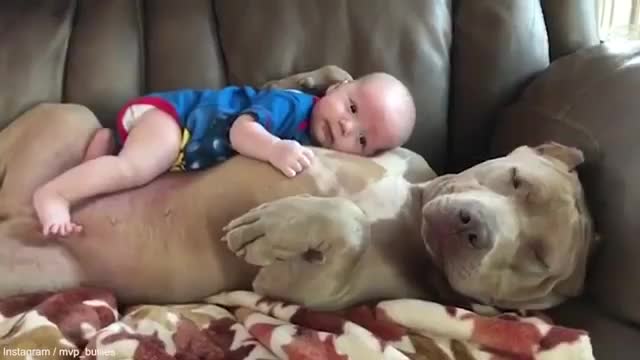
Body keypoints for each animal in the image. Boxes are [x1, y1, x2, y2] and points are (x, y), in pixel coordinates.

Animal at [0, 66, 596, 310]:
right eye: (516, 181)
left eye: (536, 260)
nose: (475, 229)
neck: (411, 207)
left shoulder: (319, 293)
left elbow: (345, 230)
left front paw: (278, 227)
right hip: (68, 116)